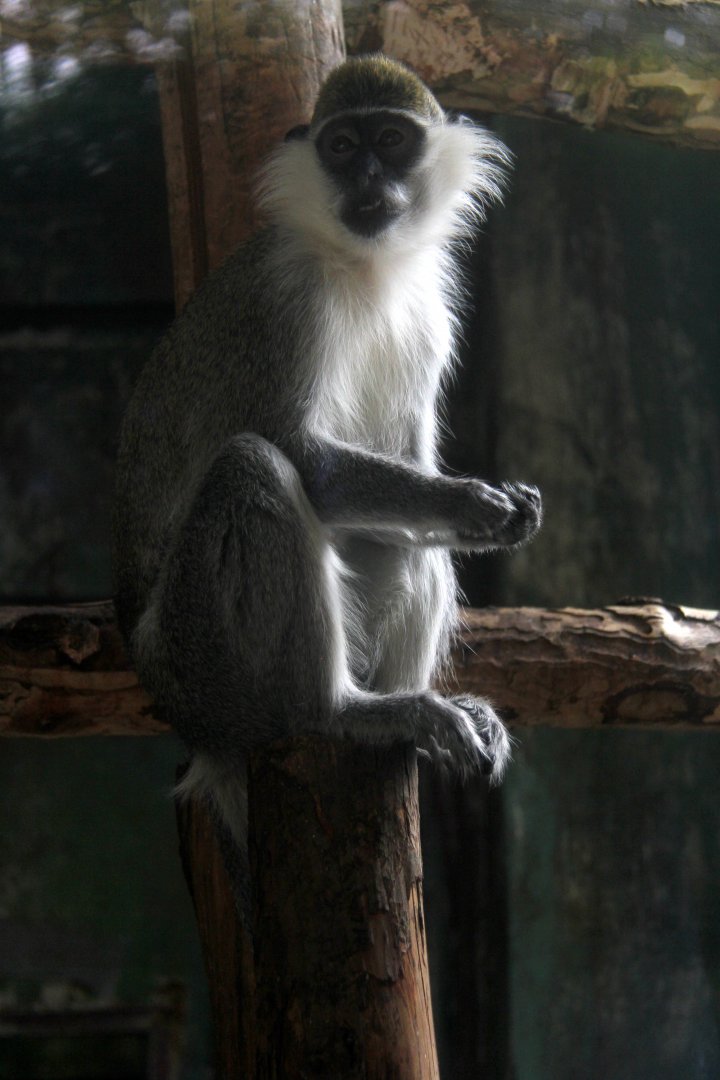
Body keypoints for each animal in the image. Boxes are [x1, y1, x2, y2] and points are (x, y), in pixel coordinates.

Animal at [113, 55, 541, 855]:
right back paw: (341, 713)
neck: (367, 268)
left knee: (406, 541)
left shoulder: (430, 313)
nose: (368, 176)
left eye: (392, 140)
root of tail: (189, 725)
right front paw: (472, 501)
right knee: (253, 468)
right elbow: (298, 455)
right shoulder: (281, 303)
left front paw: (496, 512)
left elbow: (405, 465)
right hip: (200, 657)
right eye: (342, 146)